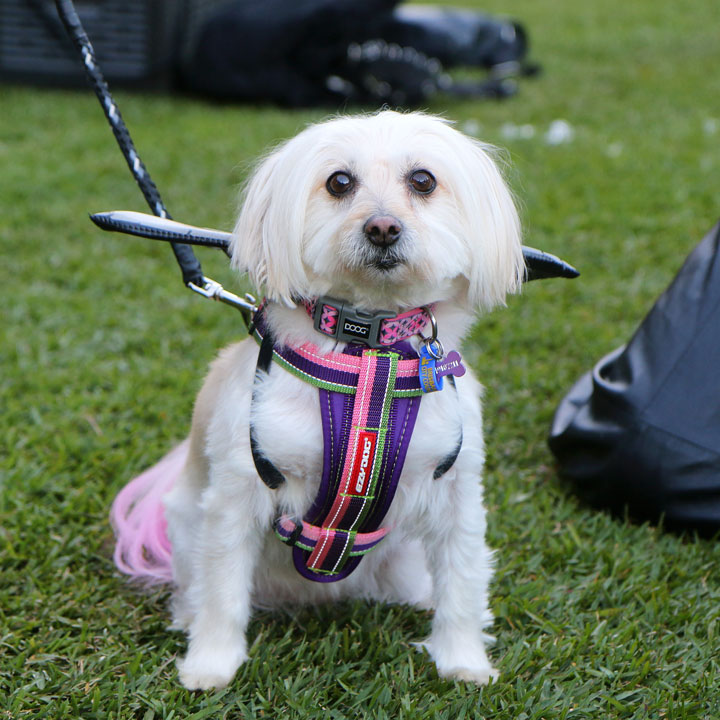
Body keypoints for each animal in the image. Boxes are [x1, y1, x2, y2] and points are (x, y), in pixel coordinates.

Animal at [115, 109, 524, 688]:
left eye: (423, 180)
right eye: (339, 182)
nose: (382, 228)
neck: (367, 359)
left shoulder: (457, 492)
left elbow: (463, 577)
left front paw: (462, 660)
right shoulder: (236, 494)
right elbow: (222, 587)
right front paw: (211, 664)